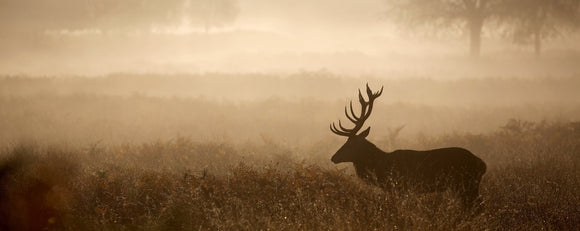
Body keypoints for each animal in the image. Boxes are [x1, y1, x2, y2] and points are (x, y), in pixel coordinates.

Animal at [330, 84, 484, 208]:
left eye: (350, 144)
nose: (333, 157)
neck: (381, 166)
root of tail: (483, 164)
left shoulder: (399, 186)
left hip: (467, 184)